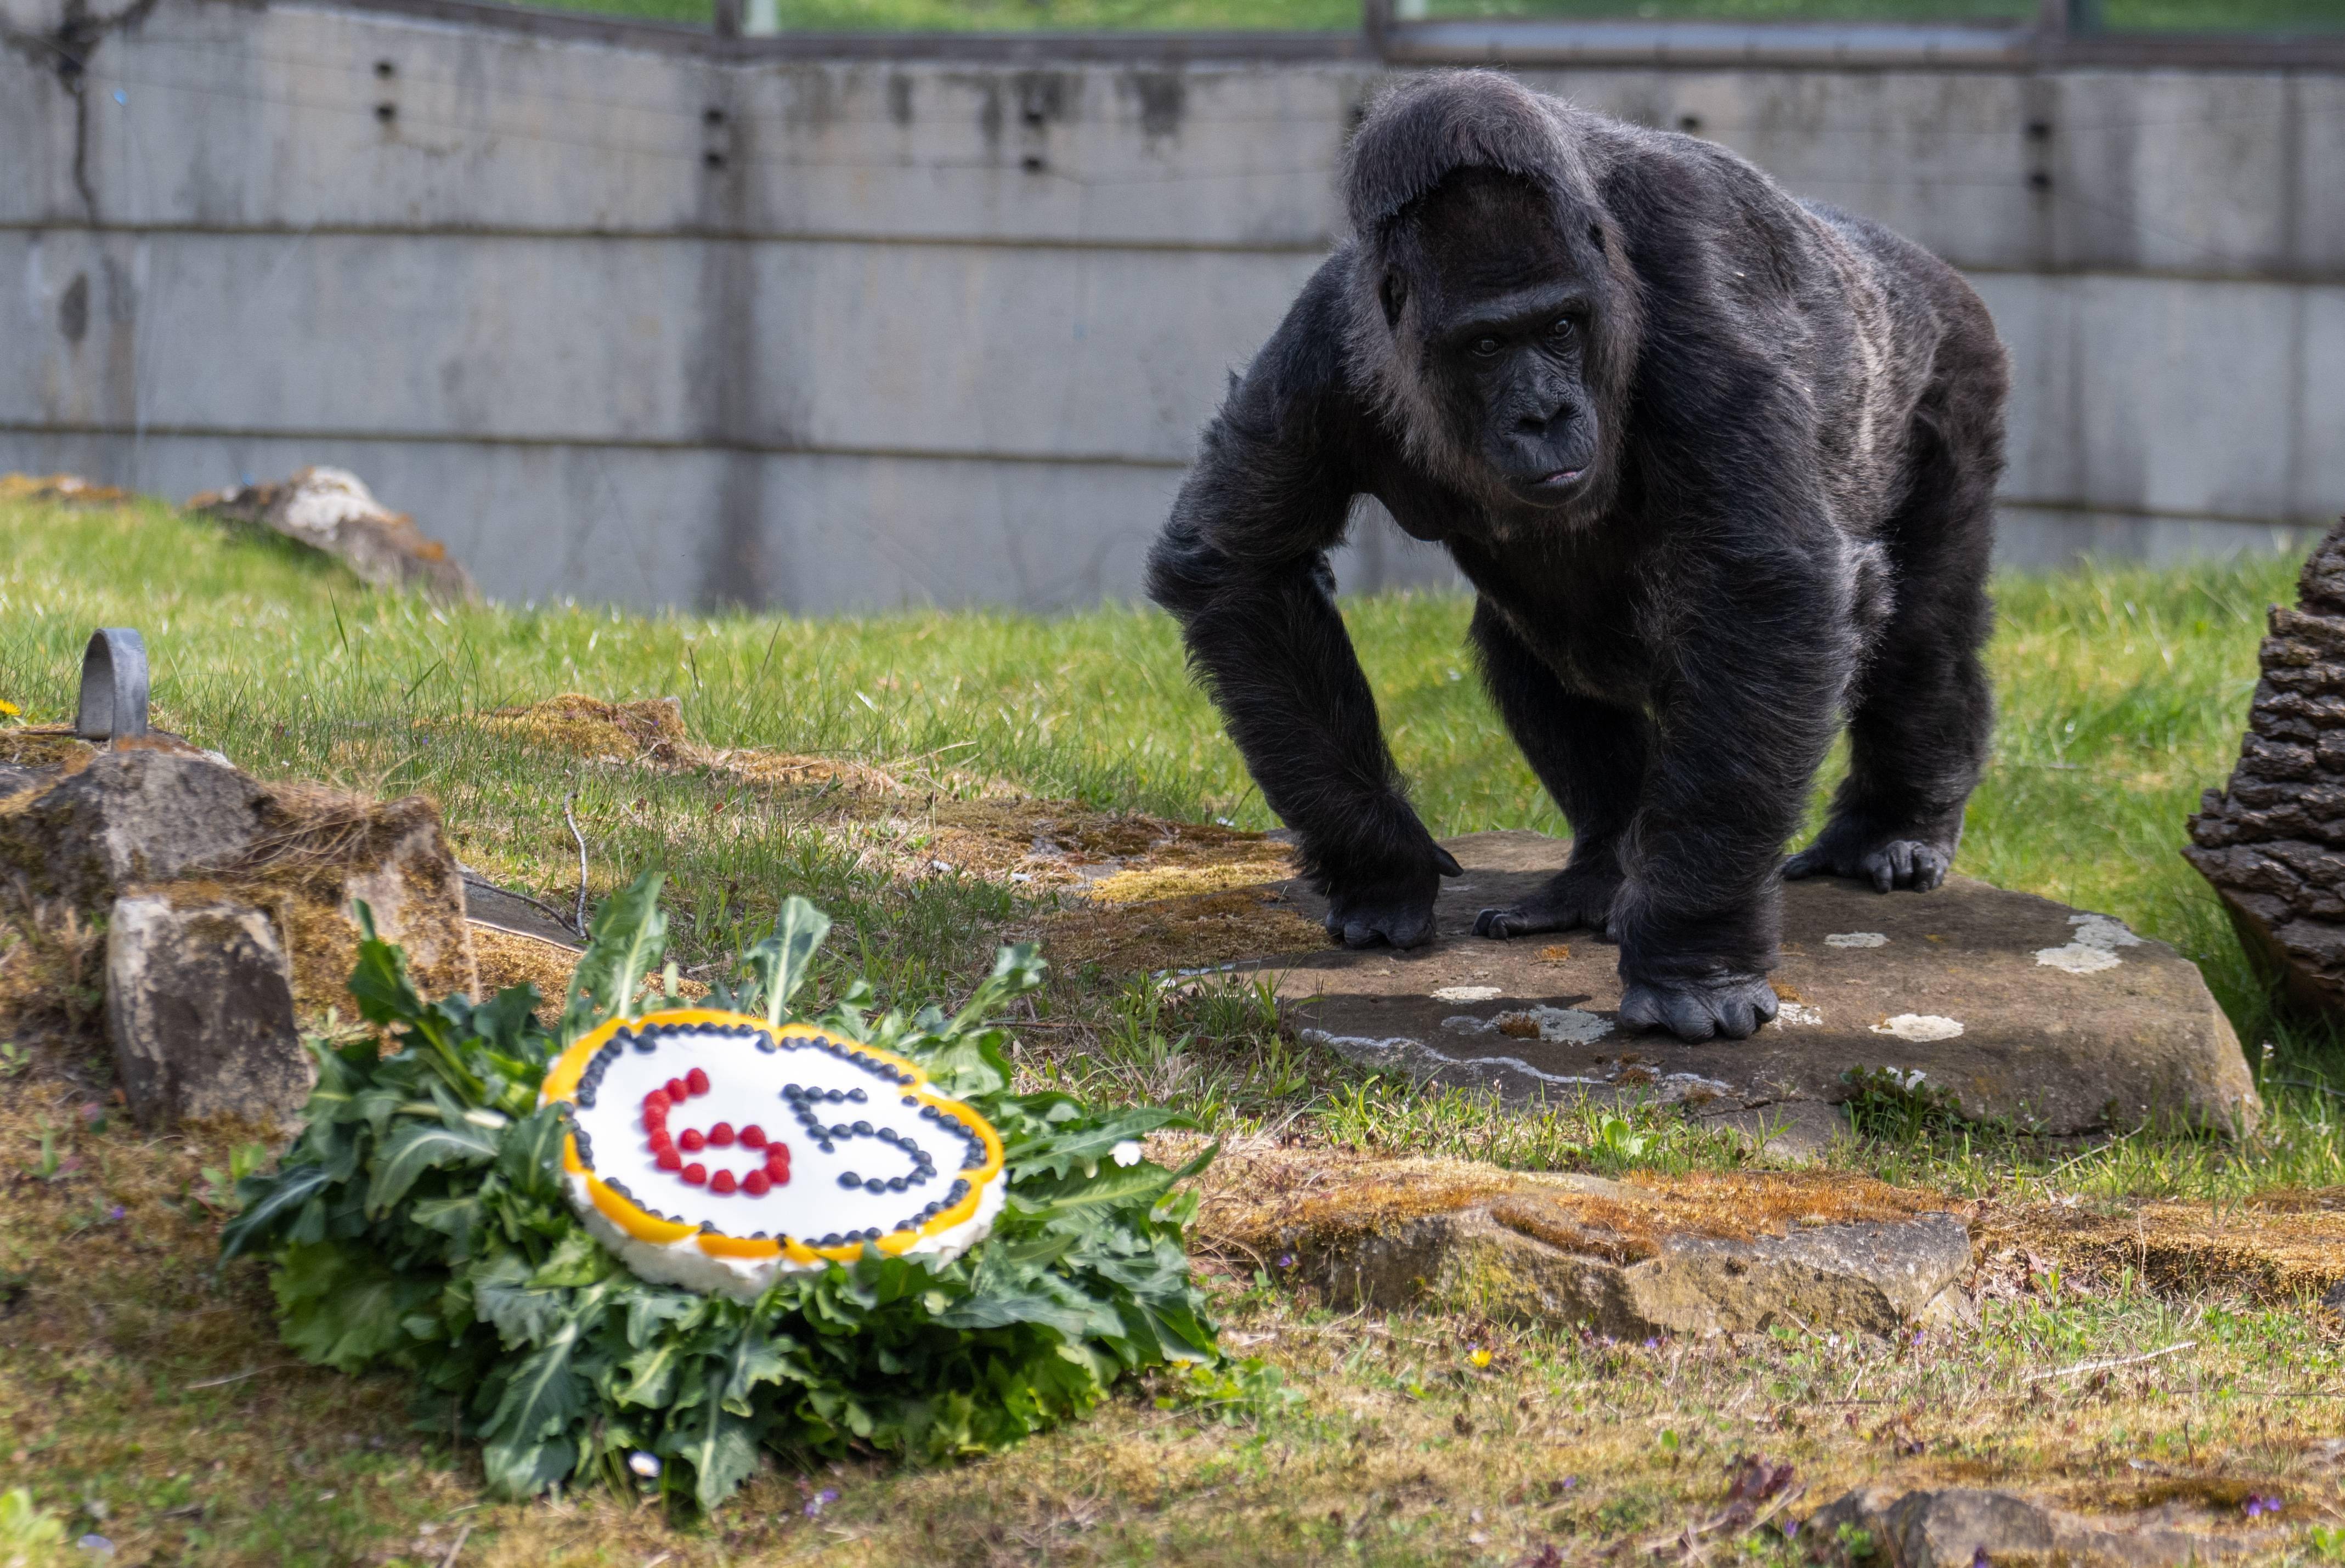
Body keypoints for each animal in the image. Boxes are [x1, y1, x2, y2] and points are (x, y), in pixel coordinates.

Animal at [1144, 70, 2007, 1040]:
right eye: (1486, 343)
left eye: (1559, 327)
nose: (1542, 414)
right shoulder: (1328, 340)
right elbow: (1240, 566)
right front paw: (1379, 862)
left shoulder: (1690, 296)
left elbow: (1764, 585)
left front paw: (1693, 957)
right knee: (1528, 641)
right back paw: (1600, 870)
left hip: (1950, 361)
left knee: (1919, 630)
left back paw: (1891, 825)